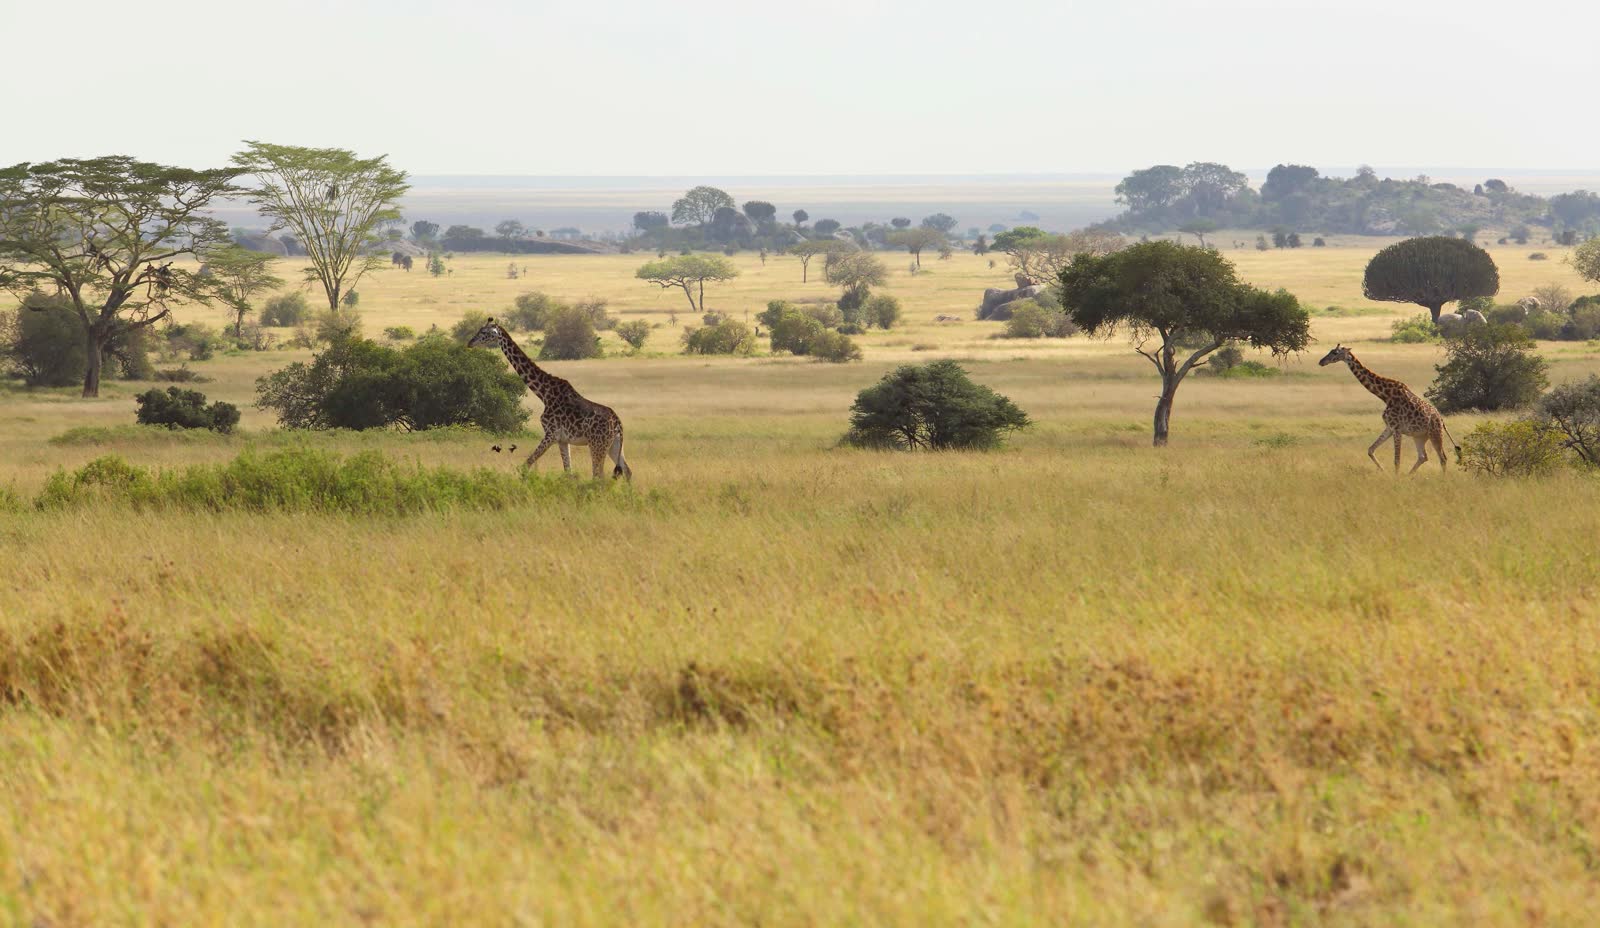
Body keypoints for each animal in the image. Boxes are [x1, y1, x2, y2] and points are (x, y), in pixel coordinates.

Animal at [468, 318, 632, 480]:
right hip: (614, 445)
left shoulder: (551, 434)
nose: (470, 342)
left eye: (484, 332)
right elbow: (568, 472)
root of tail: (618, 423)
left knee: (599, 476)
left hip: (597, 444)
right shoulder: (563, 440)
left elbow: (526, 464)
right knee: (627, 471)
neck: (544, 394)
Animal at [1319, 344, 1457, 473]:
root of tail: (1441, 420)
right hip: (1419, 436)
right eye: (1331, 350)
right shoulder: (1389, 427)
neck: (1385, 396)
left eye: (1335, 352)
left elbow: (1397, 460)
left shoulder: (1397, 429)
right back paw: (1409, 476)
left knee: (1442, 458)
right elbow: (1370, 450)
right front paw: (1384, 471)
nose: (1321, 361)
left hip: (1435, 433)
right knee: (1423, 456)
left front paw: (1395, 479)